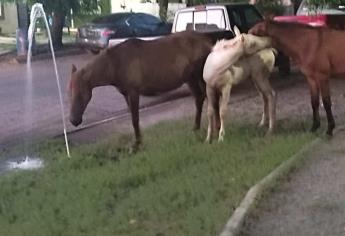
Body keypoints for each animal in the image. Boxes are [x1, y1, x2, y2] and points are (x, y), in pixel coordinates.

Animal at [68, 30, 212, 149]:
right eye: (69, 92)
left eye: (81, 93)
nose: (74, 120)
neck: (115, 63)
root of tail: (207, 41)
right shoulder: (126, 94)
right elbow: (133, 118)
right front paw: (138, 142)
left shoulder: (133, 92)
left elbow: (135, 119)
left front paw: (137, 145)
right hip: (190, 79)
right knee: (199, 99)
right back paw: (196, 128)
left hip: (200, 77)